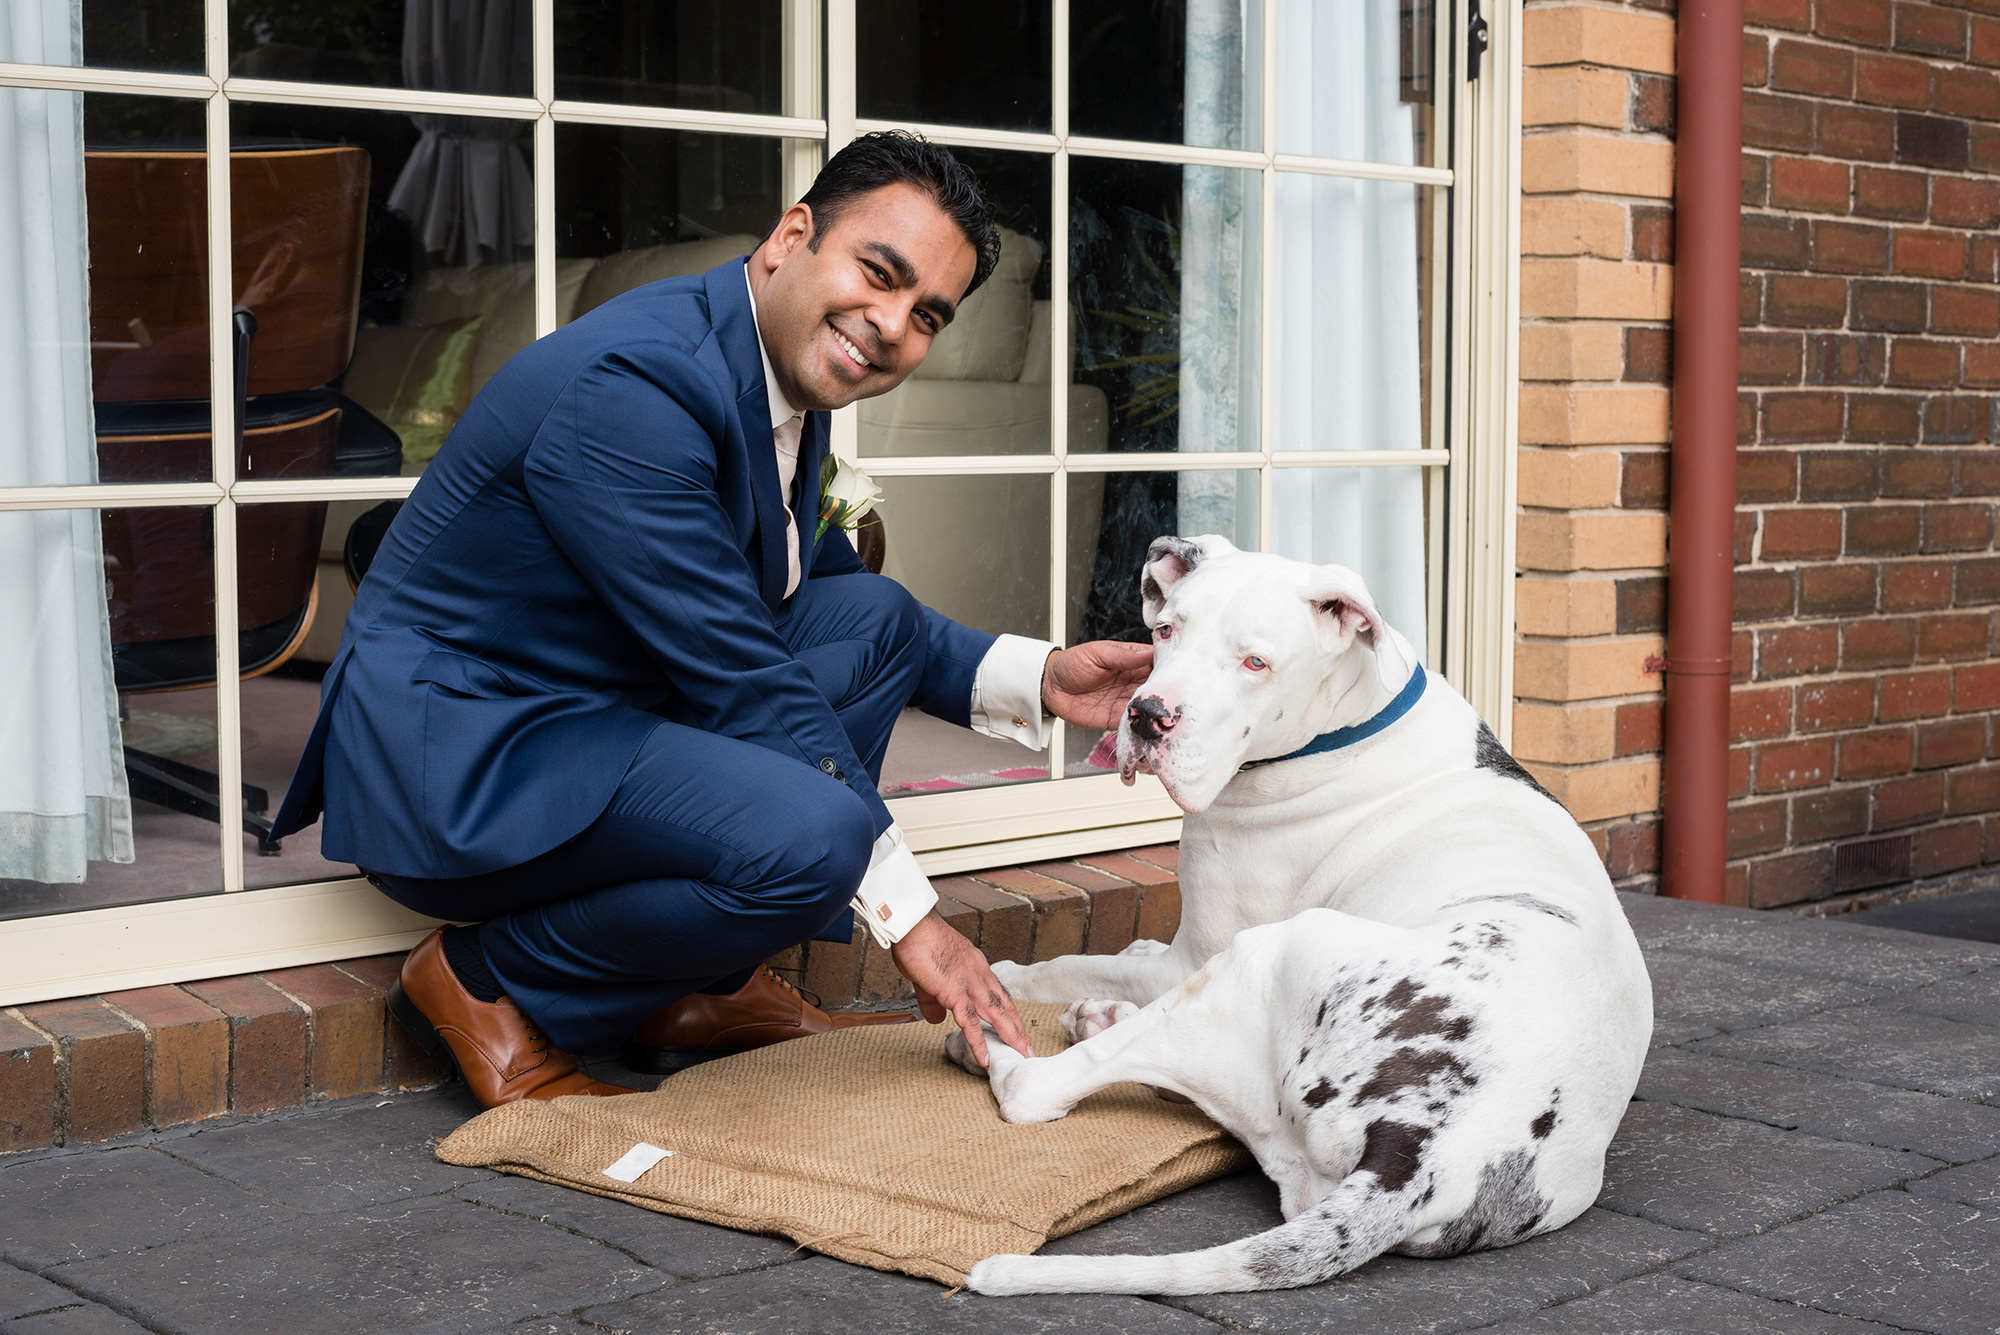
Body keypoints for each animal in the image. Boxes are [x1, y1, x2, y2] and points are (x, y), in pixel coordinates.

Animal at [944, 535, 1648, 1295]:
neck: (1347, 723)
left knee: (1036, 1088)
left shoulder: (1196, 955)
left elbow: (1062, 962)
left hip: (1267, 952)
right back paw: (1099, 1019)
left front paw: (1003, 978)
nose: (1148, 714)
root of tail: (1433, 1154)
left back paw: (991, 1036)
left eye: (1256, 663)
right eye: (1166, 632)